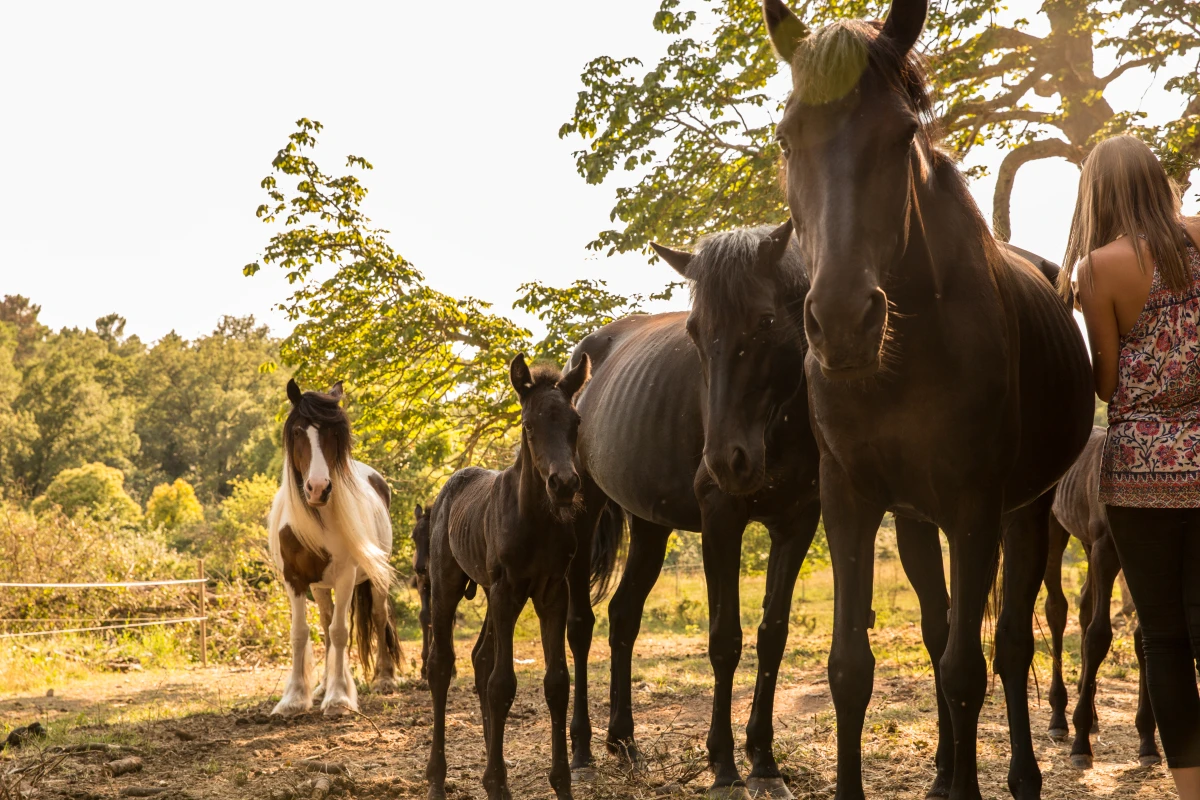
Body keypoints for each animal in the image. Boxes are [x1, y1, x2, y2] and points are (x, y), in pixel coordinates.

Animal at [267, 379, 401, 717]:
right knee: (326, 625)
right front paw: (294, 698)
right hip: (319, 587)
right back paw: (323, 686)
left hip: (373, 580)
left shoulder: (345, 575)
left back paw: (384, 679)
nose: (318, 488)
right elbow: (301, 633)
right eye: (298, 431)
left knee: (378, 617)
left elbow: (341, 632)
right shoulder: (294, 579)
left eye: (334, 434)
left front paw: (340, 698)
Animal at [425, 354, 590, 800]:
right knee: (441, 666)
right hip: (448, 585)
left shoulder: (552, 592)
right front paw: (496, 781)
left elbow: (556, 682)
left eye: (575, 422)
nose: (564, 484)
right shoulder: (507, 590)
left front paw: (560, 782)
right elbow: (502, 685)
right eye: (529, 424)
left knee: (479, 658)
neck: (536, 519)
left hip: (488, 588)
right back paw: (437, 777)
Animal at [763, 2, 1095, 799]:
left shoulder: (976, 505)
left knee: (1008, 645)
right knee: (940, 627)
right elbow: (852, 669)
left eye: (901, 133)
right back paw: (945, 771)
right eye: (787, 136)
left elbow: (968, 670)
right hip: (917, 520)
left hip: (1024, 512)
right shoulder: (850, 498)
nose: (843, 322)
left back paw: (1022, 775)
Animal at [1043, 427, 1158, 768]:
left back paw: (1091, 714)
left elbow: (1142, 637)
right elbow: (1098, 636)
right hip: (1055, 530)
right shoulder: (1107, 548)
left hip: (1086, 541)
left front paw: (1148, 742)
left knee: (1084, 606)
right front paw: (1080, 745)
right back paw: (1059, 718)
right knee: (1057, 608)